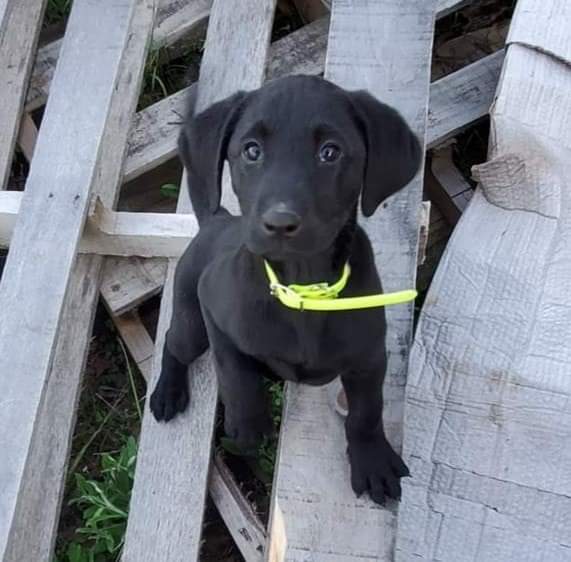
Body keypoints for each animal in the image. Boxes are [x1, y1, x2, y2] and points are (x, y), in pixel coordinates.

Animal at [150, 75, 422, 504]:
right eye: (251, 150)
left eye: (330, 152)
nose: (279, 223)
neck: (305, 289)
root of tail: (217, 218)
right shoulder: (215, 309)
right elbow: (236, 373)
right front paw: (248, 424)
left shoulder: (369, 358)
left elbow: (366, 413)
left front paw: (372, 461)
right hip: (192, 320)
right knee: (174, 344)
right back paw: (168, 391)